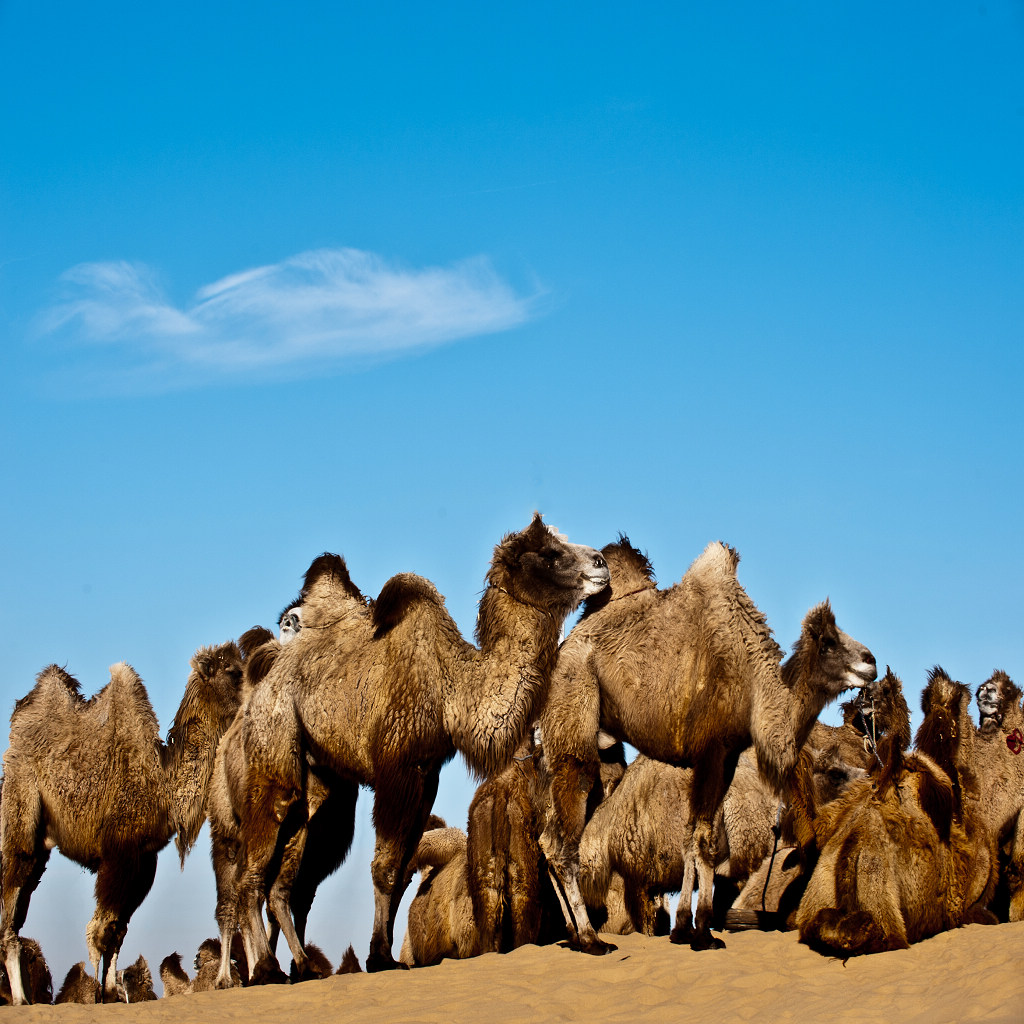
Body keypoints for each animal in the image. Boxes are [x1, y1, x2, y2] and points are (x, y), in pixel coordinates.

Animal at [0, 643, 243, 1003]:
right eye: (234, 672)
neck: (162, 783)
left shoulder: (143, 859)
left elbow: (118, 930)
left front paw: (112, 992)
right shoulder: (119, 854)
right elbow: (101, 930)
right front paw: (99, 995)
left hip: (40, 846)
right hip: (21, 811)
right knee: (10, 912)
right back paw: (19, 998)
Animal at [235, 516, 610, 978]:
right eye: (550, 553)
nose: (601, 562)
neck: (450, 689)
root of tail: (266, 672)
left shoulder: (427, 773)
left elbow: (399, 873)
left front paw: (385, 953)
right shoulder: (398, 768)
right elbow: (384, 867)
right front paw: (379, 958)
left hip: (320, 778)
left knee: (285, 877)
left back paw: (305, 966)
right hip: (274, 738)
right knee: (254, 861)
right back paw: (265, 970)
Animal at [532, 536, 876, 950]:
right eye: (827, 643)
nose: (871, 660)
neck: (754, 682)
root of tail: (564, 647)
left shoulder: (723, 759)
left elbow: (694, 836)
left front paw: (686, 929)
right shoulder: (712, 751)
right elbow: (704, 842)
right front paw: (704, 932)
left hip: (598, 752)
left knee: (550, 834)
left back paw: (573, 934)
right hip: (574, 709)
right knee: (559, 836)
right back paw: (590, 939)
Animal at [794, 667, 995, 954]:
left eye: (884, 689)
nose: (863, 696)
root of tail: (851, 849)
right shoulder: (968, 902)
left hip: (817, 898)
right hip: (885, 905)